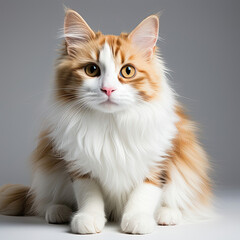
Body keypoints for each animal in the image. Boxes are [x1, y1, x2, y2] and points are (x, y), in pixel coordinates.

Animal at [0, 8, 210, 233]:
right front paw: (88, 219)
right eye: (92, 70)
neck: (110, 123)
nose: (108, 89)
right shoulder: (79, 165)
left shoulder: (158, 161)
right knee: (42, 202)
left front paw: (137, 219)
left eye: (127, 71)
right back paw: (58, 211)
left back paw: (167, 215)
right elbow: (89, 195)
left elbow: (144, 193)